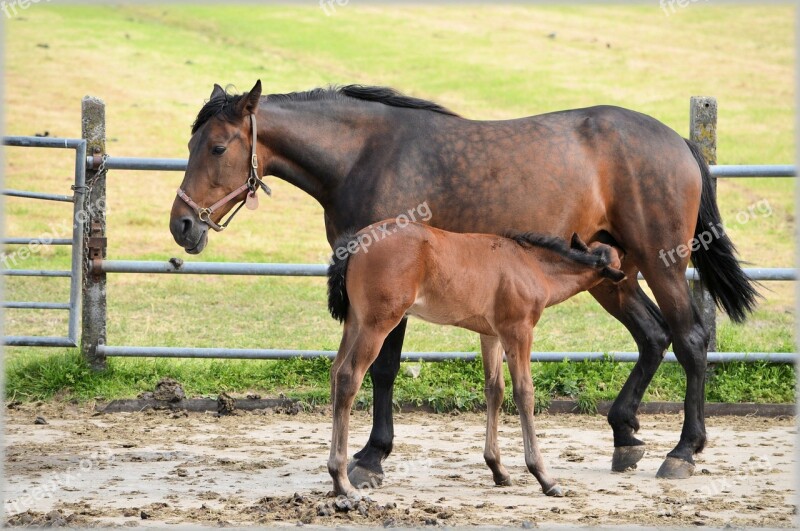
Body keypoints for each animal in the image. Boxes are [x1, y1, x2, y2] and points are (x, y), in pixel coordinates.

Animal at [324, 221, 624, 498]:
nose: (626, 293)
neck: (531, 265)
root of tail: (358, 240)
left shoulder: (491, 334)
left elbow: (495, 390)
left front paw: (498, 469)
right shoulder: (518, 330)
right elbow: (524, 393)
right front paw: (544, 476)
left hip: (355, 323)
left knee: (335, 372)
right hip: (377, 324)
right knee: (348, 377)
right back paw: (342, 481)